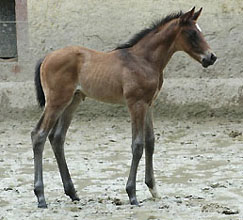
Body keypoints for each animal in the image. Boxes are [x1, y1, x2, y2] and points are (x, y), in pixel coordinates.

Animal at [31, 7, 216, 208]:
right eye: (192, 33)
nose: (211, 57)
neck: (143, 60)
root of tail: (46, 57)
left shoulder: (149, 104)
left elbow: (150, 142)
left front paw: (153, 189)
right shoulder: (136, 104)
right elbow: (138, 144)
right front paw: (132, 194)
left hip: (73, 101)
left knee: (57, 138)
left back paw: (72, 193)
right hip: (56, 101)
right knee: (39, 135)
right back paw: (41, 197)